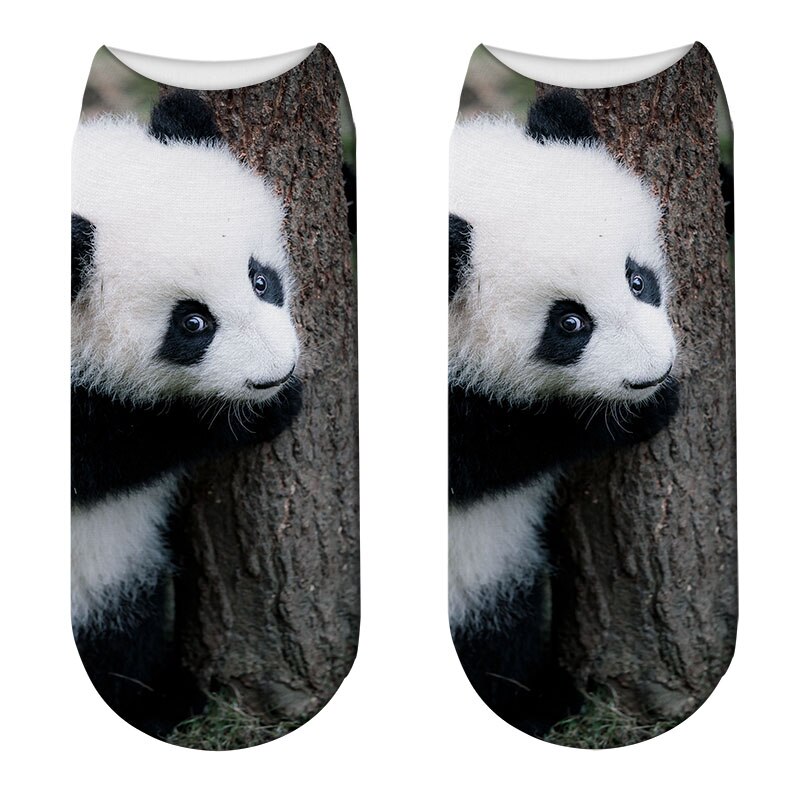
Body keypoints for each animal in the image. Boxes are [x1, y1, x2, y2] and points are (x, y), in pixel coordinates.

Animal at [71, 90, 302, 736]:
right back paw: (163, 702)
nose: (278, 371)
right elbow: (102, 454)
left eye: (260, 279)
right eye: (192, 323)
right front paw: (246, 417)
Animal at [448, 90, 680, 736]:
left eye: (637, 279)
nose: (655, 370)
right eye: (569, 323)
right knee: (495, 635)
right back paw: (540, 701)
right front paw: (626, 416)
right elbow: (479, 455)